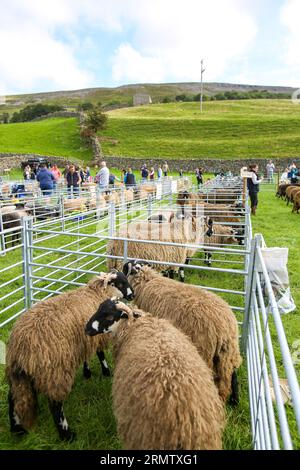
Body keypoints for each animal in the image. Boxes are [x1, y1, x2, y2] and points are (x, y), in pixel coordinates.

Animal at [4, 270, 134, 442]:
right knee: (55, 404)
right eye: (121, 283)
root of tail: (20, 346)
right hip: (54, 371)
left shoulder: (84, 341)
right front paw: (106, 372)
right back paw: (67, 434)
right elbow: (100, 354)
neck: (97, 293)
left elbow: (86, 357)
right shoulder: (96, 337)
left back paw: (17, 429)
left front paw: (87, 373)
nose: (132, 295)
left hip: (19, 375)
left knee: (13, 398)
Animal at [123, 260, 243, 404]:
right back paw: (234, 401)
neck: (147, 281)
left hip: (205, 350)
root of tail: (224, 328)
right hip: (228, 352)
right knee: (232, 374)